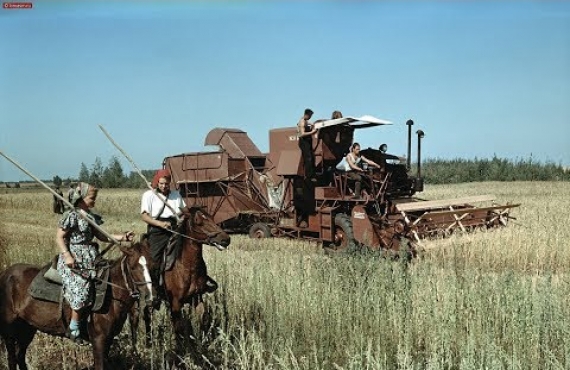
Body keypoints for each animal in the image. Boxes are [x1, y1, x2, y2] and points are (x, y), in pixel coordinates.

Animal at [0, 243, 154, 370]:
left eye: (153, 265)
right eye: (133, 267)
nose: (150, 296)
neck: (112, 294)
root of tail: (5, 274)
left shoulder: (108, 339)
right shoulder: (98, 339)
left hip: (27, 328)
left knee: (20, 356)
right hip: (10, 331)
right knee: (12, 359)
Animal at [130, 207, 230, 354]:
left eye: (211, 218)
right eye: (198, 222)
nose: (225, 239)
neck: (186, 266)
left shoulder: (196, 298)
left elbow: (203, 319)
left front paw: (202, 345)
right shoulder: (175, 302)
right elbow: (179, 326)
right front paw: (181, 351)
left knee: (147, 315)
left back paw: (149, 343)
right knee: (137, 317)